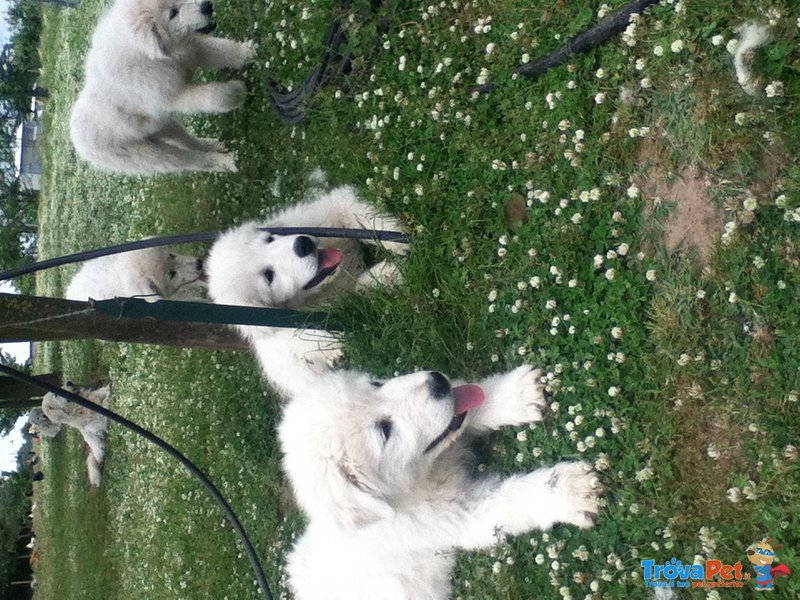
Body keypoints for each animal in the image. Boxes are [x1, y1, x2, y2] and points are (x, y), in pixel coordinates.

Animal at [71, 0, 255, 175]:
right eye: (173, 13)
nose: (207, 6)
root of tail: (77, 142)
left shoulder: (193, 51)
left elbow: (224, 51)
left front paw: (249, 51)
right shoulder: (174, 97)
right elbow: (215, 97)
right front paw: (238, 92)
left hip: (161, 126)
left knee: (185, 140)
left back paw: (215, 145)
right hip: (146, 155)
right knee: (190, 160)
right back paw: (227, 162)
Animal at [280, 364, 600, 596]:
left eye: (376, 384)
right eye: (384, 431)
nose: (437, 382)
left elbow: (470, 403)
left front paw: (514, 394)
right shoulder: (461, 516)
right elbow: (512, 499)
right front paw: (570, 490)